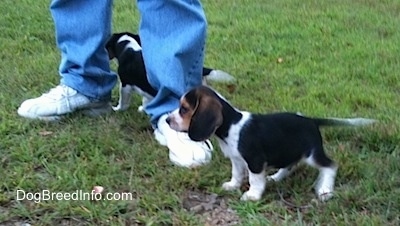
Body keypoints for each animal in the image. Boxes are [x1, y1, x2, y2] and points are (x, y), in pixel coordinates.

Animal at [106, 31, 234, 112]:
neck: (129, 47)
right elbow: (147, 100)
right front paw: (144, 109)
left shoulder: (125, 85)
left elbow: (123, 101)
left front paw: (117, 109)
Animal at [165, 85, 376, 201]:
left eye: (184, 109)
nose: (167, 120)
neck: (232, 126)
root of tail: (311, 120)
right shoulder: (236, 160)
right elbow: (237, 174)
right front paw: (232, 185)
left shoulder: (255, 161)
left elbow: (255, 180)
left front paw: (252, 195)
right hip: (289, 151)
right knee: (290, 165)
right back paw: (275, 177)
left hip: (312, 154)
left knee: (330, 166)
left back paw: (325, 190)